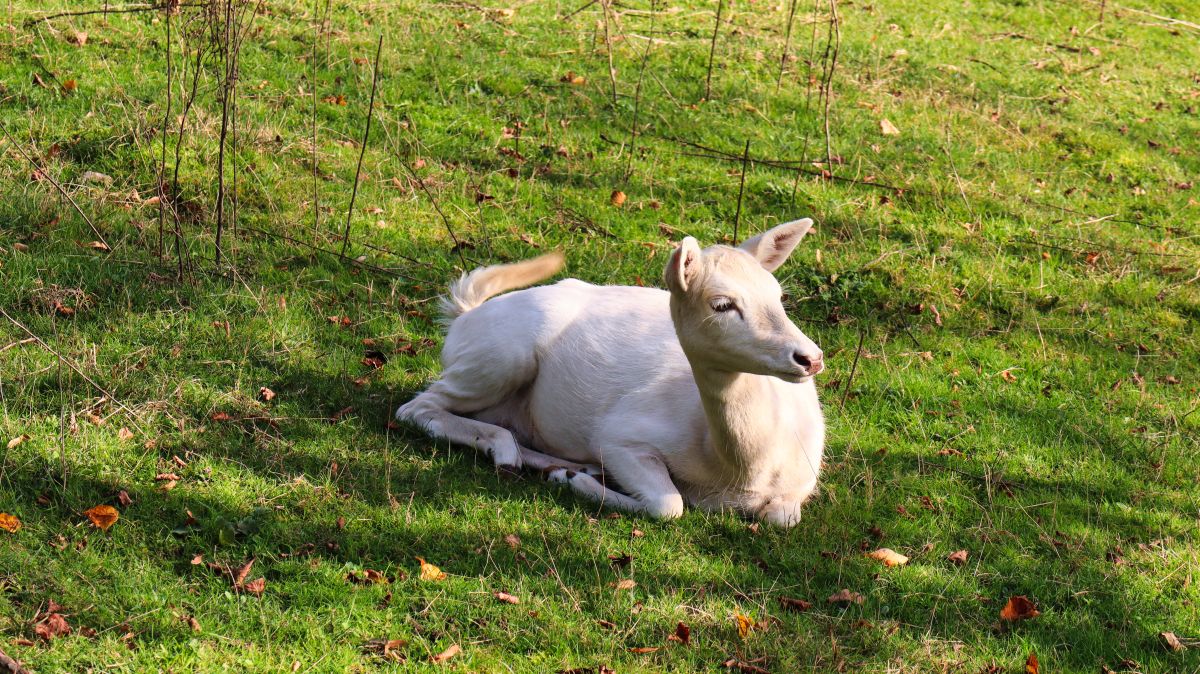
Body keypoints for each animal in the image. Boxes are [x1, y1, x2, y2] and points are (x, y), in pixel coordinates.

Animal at [396, 219, 825, 525]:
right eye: (721, 304)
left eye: (778, 295)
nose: (811, 358)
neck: (740, 474)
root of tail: (464, 314)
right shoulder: (621, 434)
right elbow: (670, 504)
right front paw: (578, 482)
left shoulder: (803, 479)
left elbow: (782, 517)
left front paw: (573, 476)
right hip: (499, 355)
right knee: (416, 408)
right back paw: (512, 453)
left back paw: (562, 464)